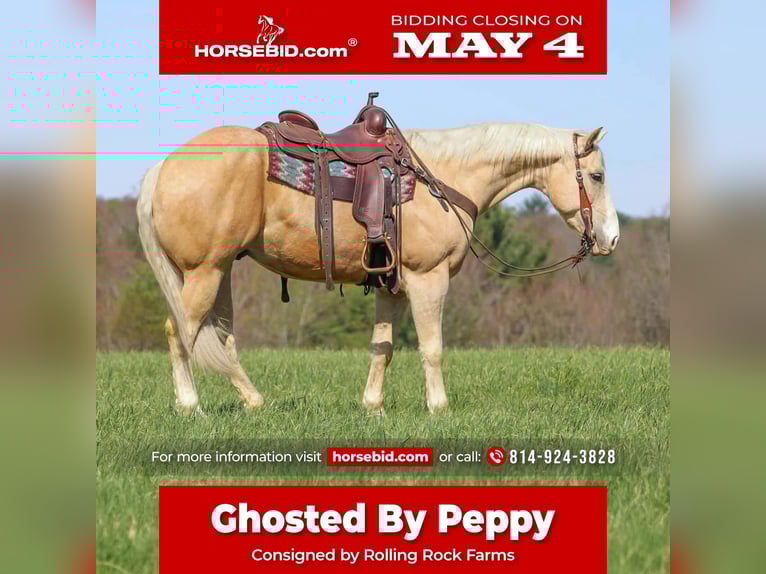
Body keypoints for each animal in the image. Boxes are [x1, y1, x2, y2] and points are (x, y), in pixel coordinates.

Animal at [137, 121, 619, 416]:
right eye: (596, 176)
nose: (611, 238)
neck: (441, 177)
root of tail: (162, 166)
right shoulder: (428, 279)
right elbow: (432, 348)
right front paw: (439, 408)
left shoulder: (392, 286)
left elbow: (382, 348)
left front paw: (373, 407)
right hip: (205, 272)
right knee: (179, 332)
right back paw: (190, 406)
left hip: (220, 272)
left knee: (220, 337)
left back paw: (253, 400)